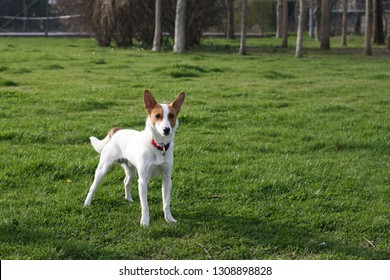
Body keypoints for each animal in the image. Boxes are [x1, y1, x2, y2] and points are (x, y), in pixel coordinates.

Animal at [82, 91, 186, 226]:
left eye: (171, 116)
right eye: (157, 116)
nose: (166, 129)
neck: (158, 146)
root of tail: (117, 130)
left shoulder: (167, 179)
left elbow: (166, 203)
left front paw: (169, 218)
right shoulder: (143, 180)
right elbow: (145, 205)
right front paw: (145, 222)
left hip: (131, 170)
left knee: (126, 182)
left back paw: (129, 199)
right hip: (103, 169)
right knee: (92, 187)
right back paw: (87, 203)